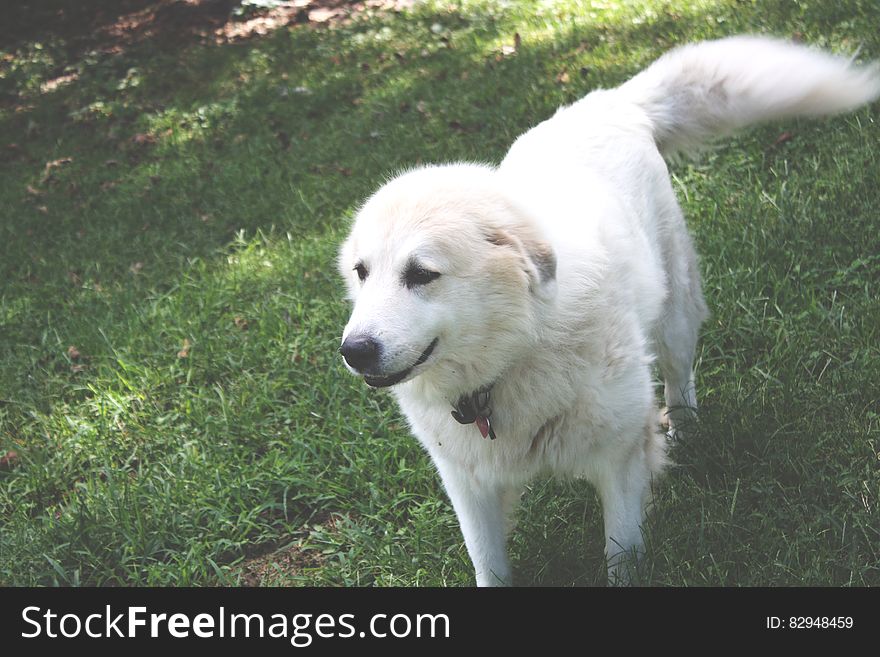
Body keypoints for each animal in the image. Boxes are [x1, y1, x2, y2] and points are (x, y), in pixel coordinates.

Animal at [336, 37, 880, 584]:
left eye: (422, 274)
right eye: (362, 272)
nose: (353, 351)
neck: (516, 356)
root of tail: (610, 102)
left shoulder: (618, 459)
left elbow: (620, 553)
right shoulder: (470, 485)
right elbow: (489, 566)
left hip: (674, 317)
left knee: (680, 379)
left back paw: (685, 434)